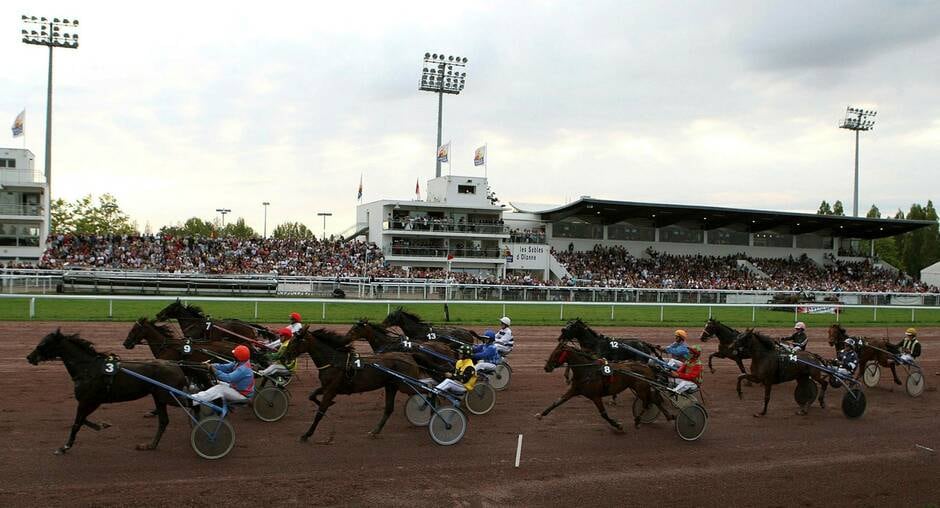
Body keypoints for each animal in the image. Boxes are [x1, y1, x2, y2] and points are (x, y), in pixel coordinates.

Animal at [28, 332, 193, 454]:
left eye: (43, 344)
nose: (29, 357)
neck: (88, 368)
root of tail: (177, 367)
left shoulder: (89, 400)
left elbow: (77, 423)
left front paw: (64, 447)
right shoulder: (90, 401)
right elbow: (82, 420)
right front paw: (102, 425)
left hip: (168, 396)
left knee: (190, 404)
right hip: (159, 397)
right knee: (164, 421)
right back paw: (150, 445)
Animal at [280, 328, 424, 442]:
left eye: (296, 341)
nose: (283, 356)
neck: (333, 361)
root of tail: (409, 356)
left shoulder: (331, 390)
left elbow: (320, 413)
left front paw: (307, 434)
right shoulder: (327, 387)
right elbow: (312, 395)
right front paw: (328, 403)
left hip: (406, 386)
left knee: (425, 393)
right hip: (391, 386)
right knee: (389, 409)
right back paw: (375, 431)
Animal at [536, 344, 668, 430]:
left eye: (556, 353)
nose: (546, 367)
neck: (587, 371)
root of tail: (648, 367)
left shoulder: (595, 396)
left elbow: (603, 414)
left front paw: (617, 425)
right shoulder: (574, 390)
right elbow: (557, 402)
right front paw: (541, 415)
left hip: (641, 389)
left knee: (647, 402)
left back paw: (638, 420)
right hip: (643, 388)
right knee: (654, 400)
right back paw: (669, 416)